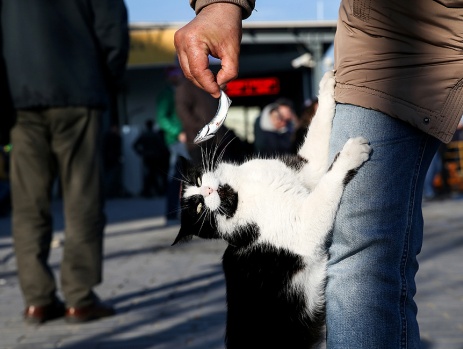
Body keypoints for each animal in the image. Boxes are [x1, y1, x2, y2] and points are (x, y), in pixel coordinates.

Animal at [172, 71, 372, 348]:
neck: (241, 192)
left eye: (199, 181)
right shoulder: (302, 229)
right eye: (200, 208)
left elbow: (317, 138)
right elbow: (329, 182)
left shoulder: (305, 169)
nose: (208, 192)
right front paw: (350, 154)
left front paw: (326, 87)